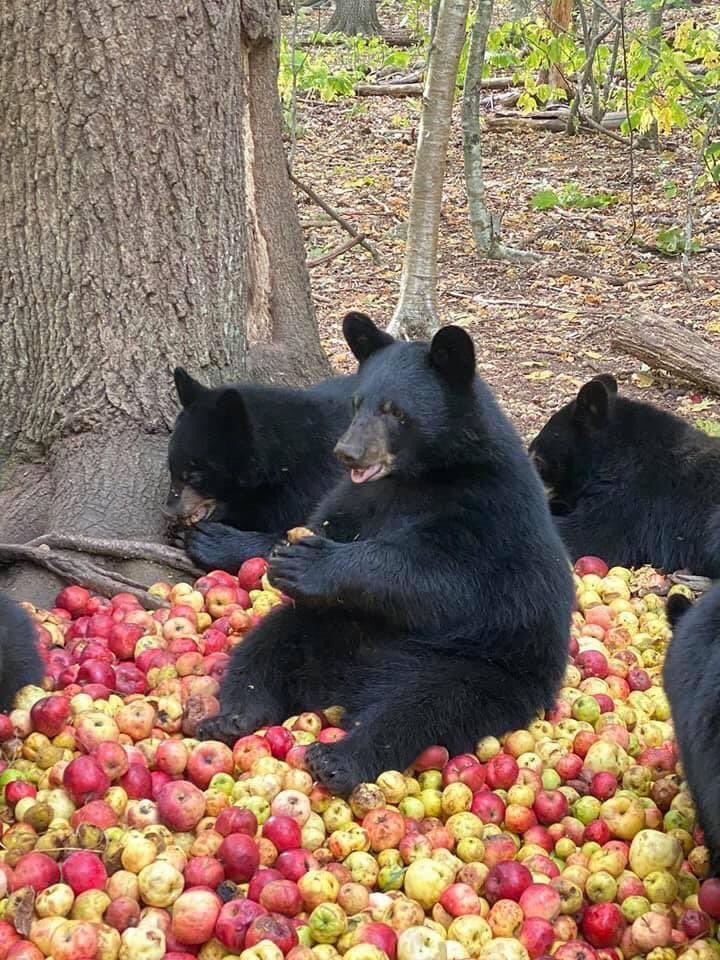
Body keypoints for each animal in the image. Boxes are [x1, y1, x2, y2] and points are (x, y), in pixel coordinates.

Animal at [197, 312, 574, 793]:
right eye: (358, 402)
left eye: (395, 410)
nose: (348, 452)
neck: (418, 476)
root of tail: (344, 686)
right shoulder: (360, 497)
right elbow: (327, 519)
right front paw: (283, 555)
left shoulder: (489, 508)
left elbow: (449, 579)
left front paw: (311, 563)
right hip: (328, 627)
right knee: (267, 645)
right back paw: (233, 716)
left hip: (479, 667)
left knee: (422, 706)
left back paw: (340, 758)